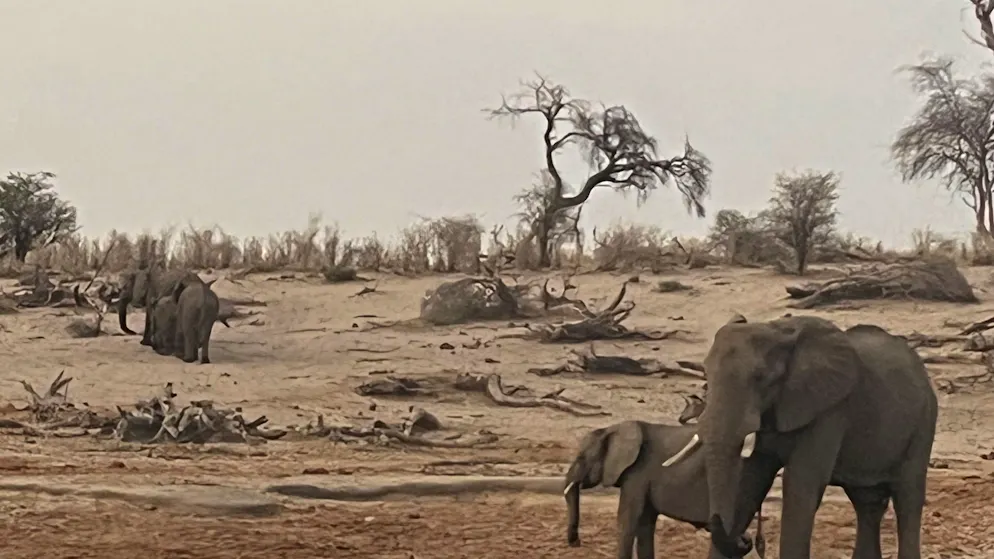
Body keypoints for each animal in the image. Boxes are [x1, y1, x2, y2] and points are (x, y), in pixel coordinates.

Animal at [564, 420, 768, 559]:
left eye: (581, 458)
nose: (576, 542)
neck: (613, 428)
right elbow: (645, 524)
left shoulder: (637, 475)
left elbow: (627, 520)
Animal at [662, 316, 938, 559]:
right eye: (706, 376)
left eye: (761, 378)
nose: (746, 540)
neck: (778, 331)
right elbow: (751, 480)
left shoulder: (829, 409)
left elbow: (801, 484)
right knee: (867, 503)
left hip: (923, 422)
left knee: (907, 498)